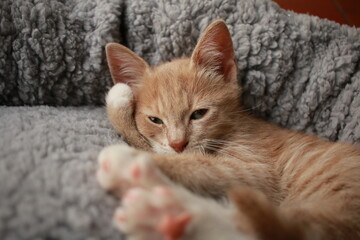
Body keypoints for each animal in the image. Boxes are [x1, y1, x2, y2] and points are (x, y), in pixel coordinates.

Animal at [97, 20, 360, 240]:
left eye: (199, 114)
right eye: (155, 120)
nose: (178, 144)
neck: (234, 124)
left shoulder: (257, 169)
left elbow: (200, 167)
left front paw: (133, 157)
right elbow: (147, 142)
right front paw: (120, 104)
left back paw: (165, 210)